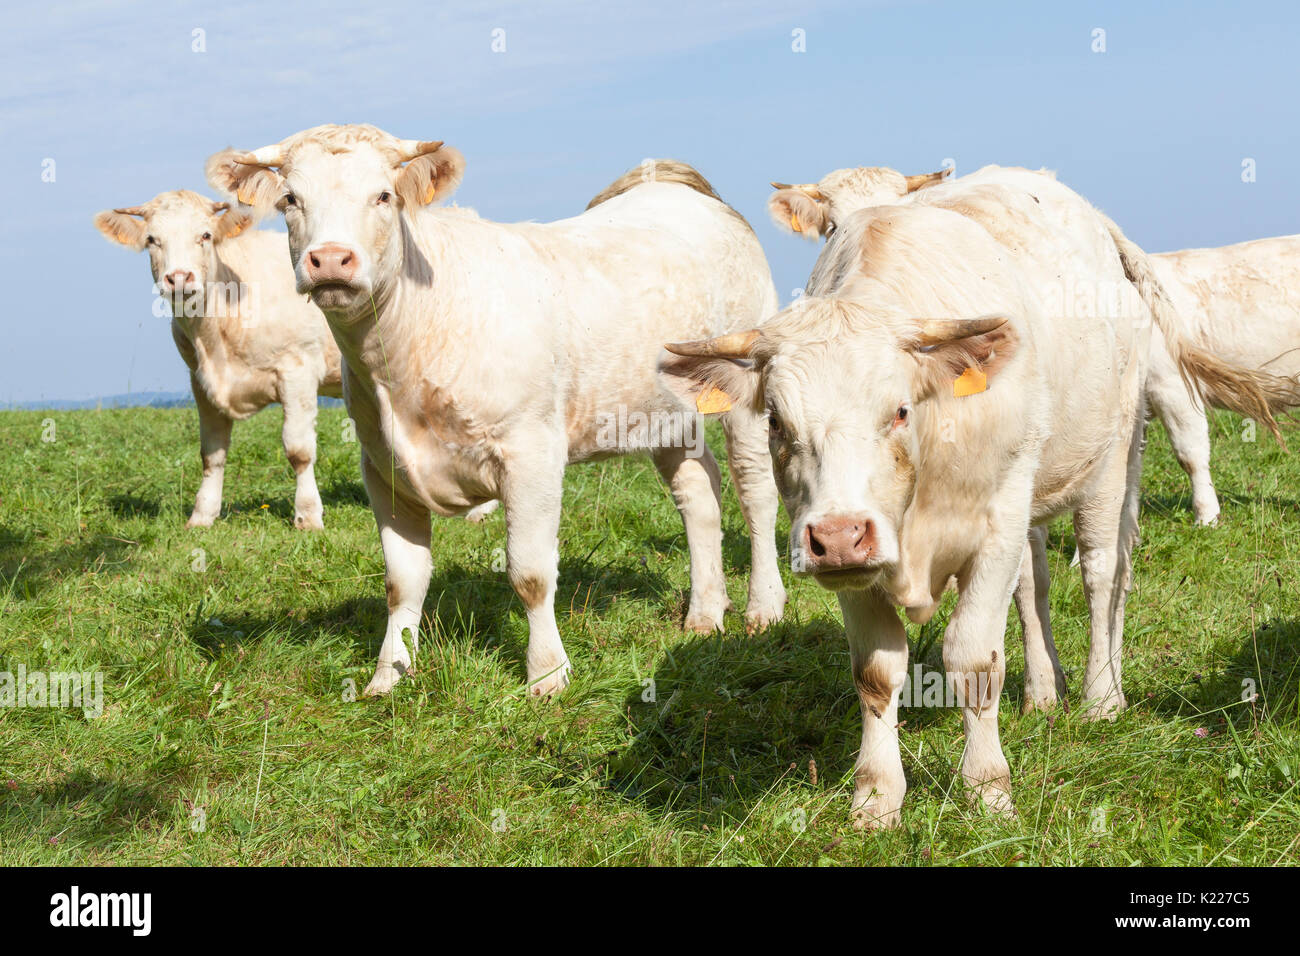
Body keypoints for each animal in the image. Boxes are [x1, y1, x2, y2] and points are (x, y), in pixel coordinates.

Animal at [95, 190, 343, 529]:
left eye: (205, 235)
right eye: (152, 239)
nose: (179, 278)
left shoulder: (298, 368)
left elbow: (299, 449)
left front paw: (308, 516)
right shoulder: (200, 380)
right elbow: (211, 453)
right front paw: (202, 516)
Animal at [205, 125, 787, 698]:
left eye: (383, 196)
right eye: (290, 200)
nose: (329, 259)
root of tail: (679, 187)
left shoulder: (531, 453)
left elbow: (530, 572)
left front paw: (547, 675)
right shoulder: (382, 466)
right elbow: (402, 580)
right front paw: (388, 675)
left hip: (745, 392)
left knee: (755, 492)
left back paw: (763, 607)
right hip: (663, 410)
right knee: (700, 492)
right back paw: (705, 613)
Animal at [662, 169, 1292, 827]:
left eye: (899, 411)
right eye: (777, 422)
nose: (837, 536)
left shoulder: (994, 528)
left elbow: (974, 658)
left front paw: (988, 790)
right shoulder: (858, 566)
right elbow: (876, 673)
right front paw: (875, 799)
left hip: (1111, 460)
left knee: (1103, 575)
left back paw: (1102, 696)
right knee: (1034, 587)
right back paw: (1044, 692)